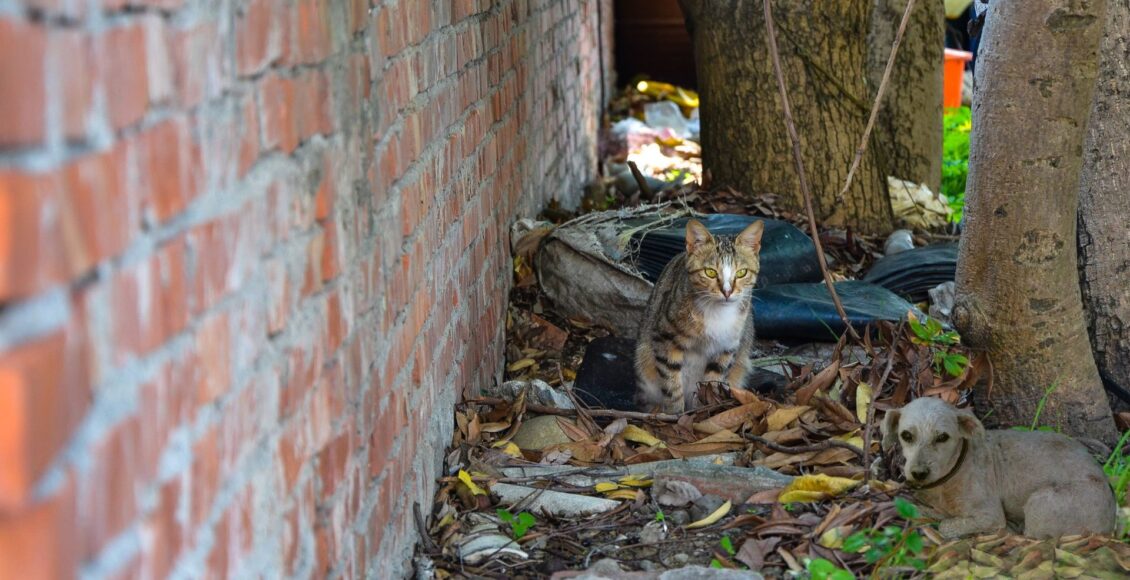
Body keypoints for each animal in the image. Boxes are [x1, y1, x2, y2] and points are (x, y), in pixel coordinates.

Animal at [632, 217, 763, 411]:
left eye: (741, 272)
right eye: (710, 272)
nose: (727, 291)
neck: (717, 313)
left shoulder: (727, 348)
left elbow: (712, 382)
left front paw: (705, 410)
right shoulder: (664, 338)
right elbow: (671, 384)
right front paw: (675, 413)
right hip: (644, 362)